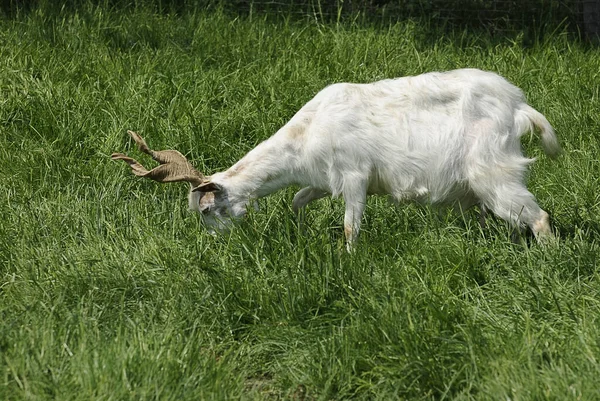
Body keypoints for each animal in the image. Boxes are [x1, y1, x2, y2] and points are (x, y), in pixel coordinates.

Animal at [113, 69, 564, 250]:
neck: (308, 131)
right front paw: (298, 231)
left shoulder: (354, 176)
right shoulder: (321, 180)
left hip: (494, 170)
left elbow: (350, 226)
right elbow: (297, 200)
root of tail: (519, 107)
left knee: (538, 217)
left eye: (206, 211)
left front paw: (347, 260)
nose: (213, 243)